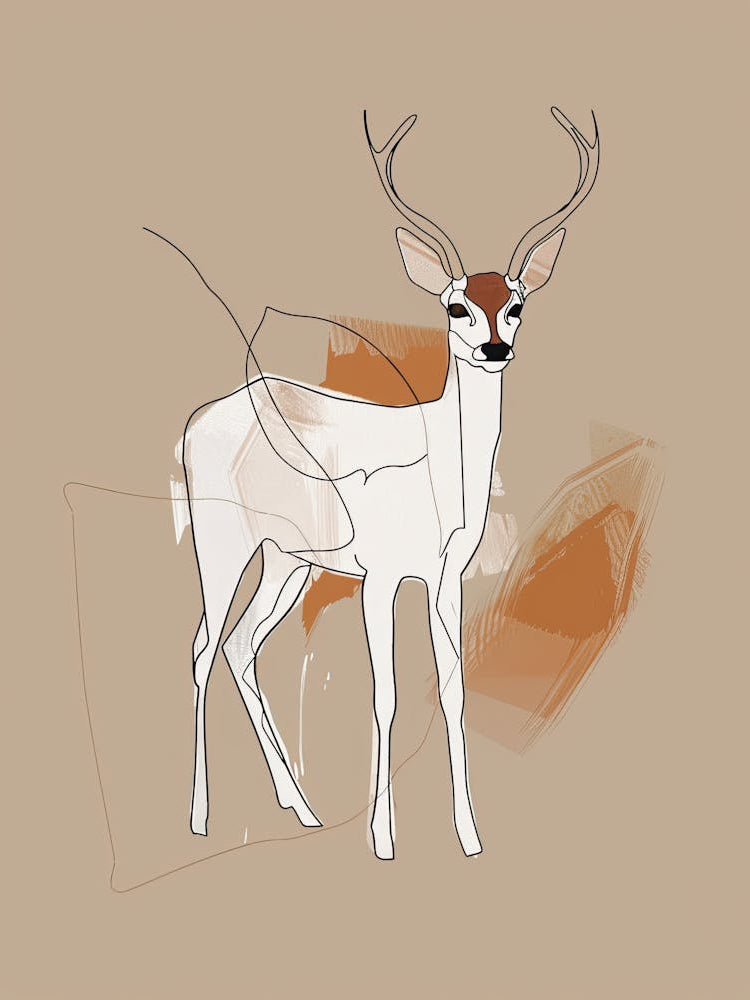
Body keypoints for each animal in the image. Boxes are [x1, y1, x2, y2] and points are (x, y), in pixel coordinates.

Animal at [175, 108, 600, 860]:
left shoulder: (444, 577)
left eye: (516, 303)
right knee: (200, 650)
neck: (436, 470)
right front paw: (383, 838)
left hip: (288, 561)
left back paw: (303, 809)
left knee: (240, 646)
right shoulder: (379, 576)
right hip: (221, 542)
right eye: (456, 306)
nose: (495, 348)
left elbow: (453, 686)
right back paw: (199, 816)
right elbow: (386, 693)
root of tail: (202, 417)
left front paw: (469, 836)